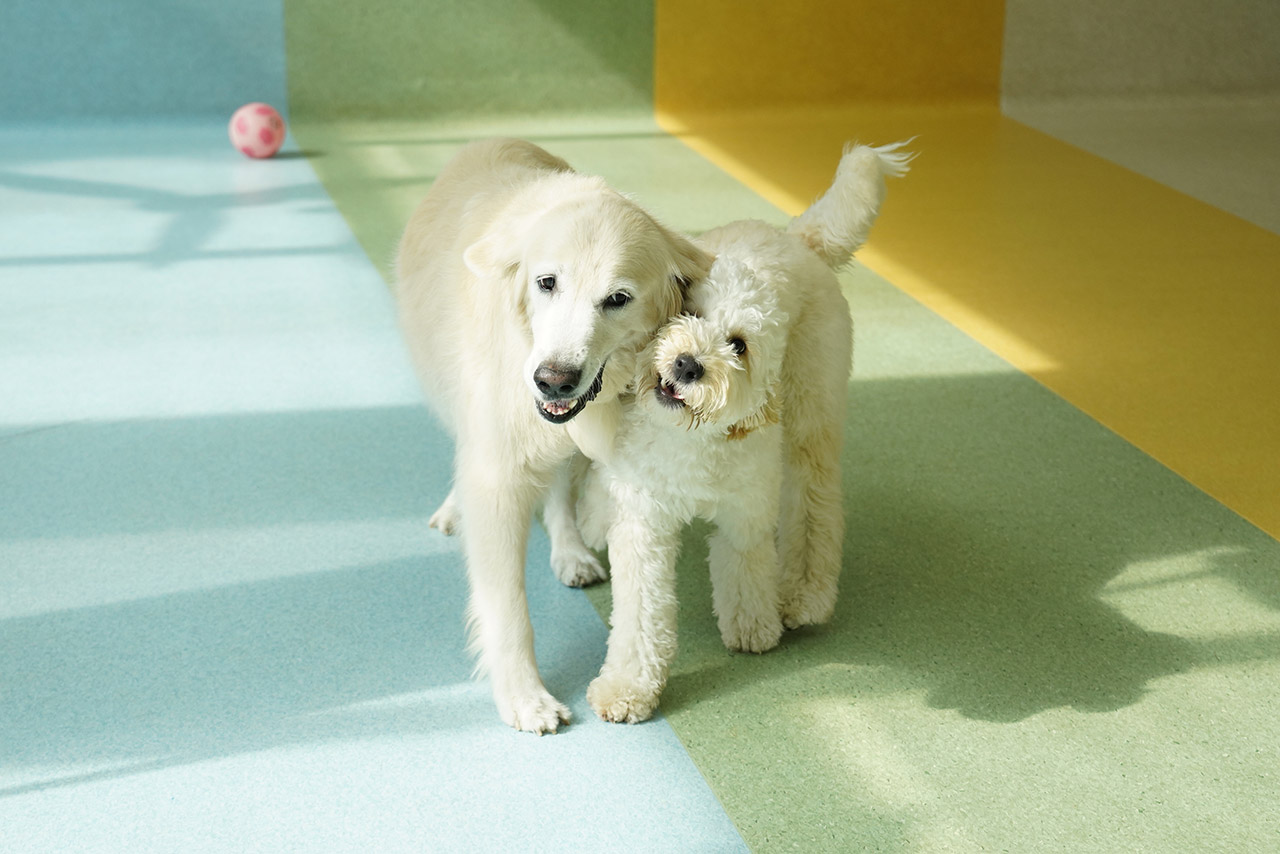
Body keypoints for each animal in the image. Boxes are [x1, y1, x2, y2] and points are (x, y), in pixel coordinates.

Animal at [394, 136, 711, 732]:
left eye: (618, 299)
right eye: (547, 283)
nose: (552, 380)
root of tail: (492, 139)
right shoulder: (496, 477)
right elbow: (508, 609)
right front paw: (524, 697)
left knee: (562, 484)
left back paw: (569, 551)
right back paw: (452, 508)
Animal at [570, 143, 911, 727]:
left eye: (738, 344)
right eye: (689, 311)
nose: (686, 364)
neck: (687, 439)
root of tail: (798, 237)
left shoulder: (745, 513)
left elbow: (745, 569)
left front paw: (753, 627)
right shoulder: (645, 524)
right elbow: (640, 616)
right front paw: (627, 688)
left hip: (811, 415)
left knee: (815, 506)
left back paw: (802, 594)